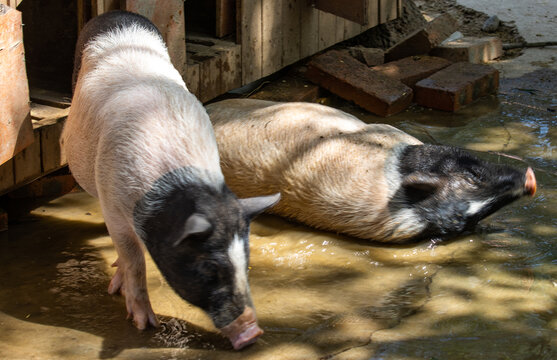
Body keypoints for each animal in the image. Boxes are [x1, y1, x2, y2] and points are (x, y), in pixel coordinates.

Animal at [63, 11, 278, 348]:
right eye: (208, 267)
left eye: (246, 260)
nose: (252, 333)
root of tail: (117, 14)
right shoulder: (113, 203)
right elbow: (134, 259)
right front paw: (144, 324)